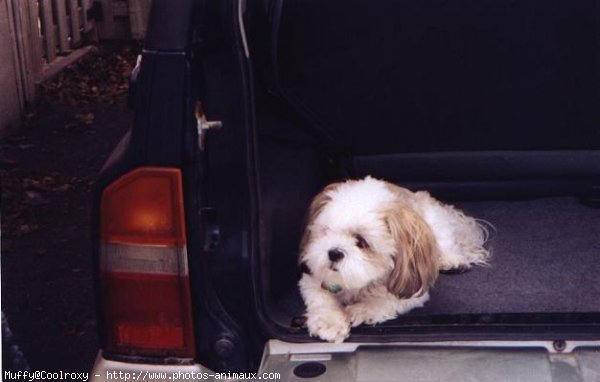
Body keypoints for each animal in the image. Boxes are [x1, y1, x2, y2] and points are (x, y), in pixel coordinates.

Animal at [298, 177, 490, 344]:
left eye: (361, 241)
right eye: (325, 231)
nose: (334, 252)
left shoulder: (413, 289)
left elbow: (385, 300)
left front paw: (360, 309)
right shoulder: (311, 278)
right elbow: (320, 297)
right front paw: (330, 322)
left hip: (436, 227)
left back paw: (451, 260)